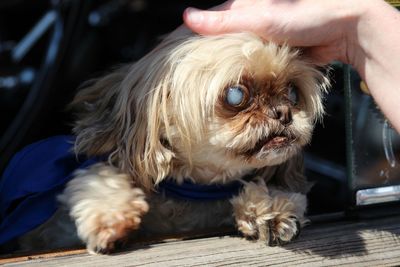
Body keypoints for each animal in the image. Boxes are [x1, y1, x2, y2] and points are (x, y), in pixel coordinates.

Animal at [0, 27, 328, 255]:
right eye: (236, 95)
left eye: (293, 92)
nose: (283, 112)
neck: (192, 191)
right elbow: (96, 176)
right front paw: (110, 214)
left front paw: (269, 210)